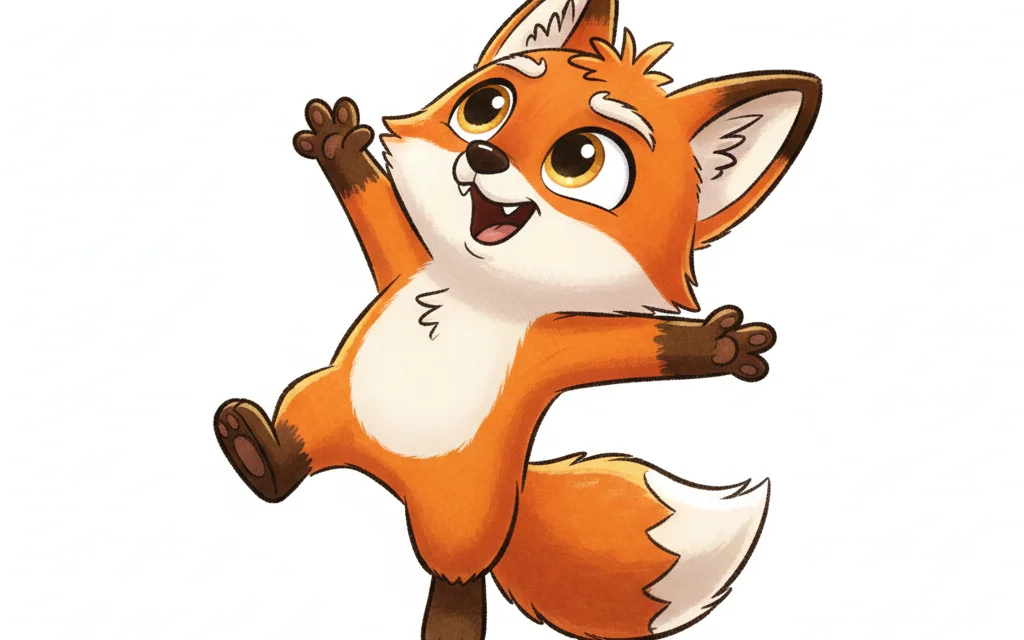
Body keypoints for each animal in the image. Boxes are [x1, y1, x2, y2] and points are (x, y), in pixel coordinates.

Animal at [213, 1, 821, 638]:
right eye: (484, 107)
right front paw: (339, 146)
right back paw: (257, 451)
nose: (483, 154)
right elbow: (376, 205)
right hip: (324, 402)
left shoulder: (553, 346)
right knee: (293, 453)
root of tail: (389, 472)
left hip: (464, 517)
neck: (471, 292)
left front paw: (722, 345)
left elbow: (642, 347)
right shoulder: (406, 264)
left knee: (456, 582)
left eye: (579, 159)